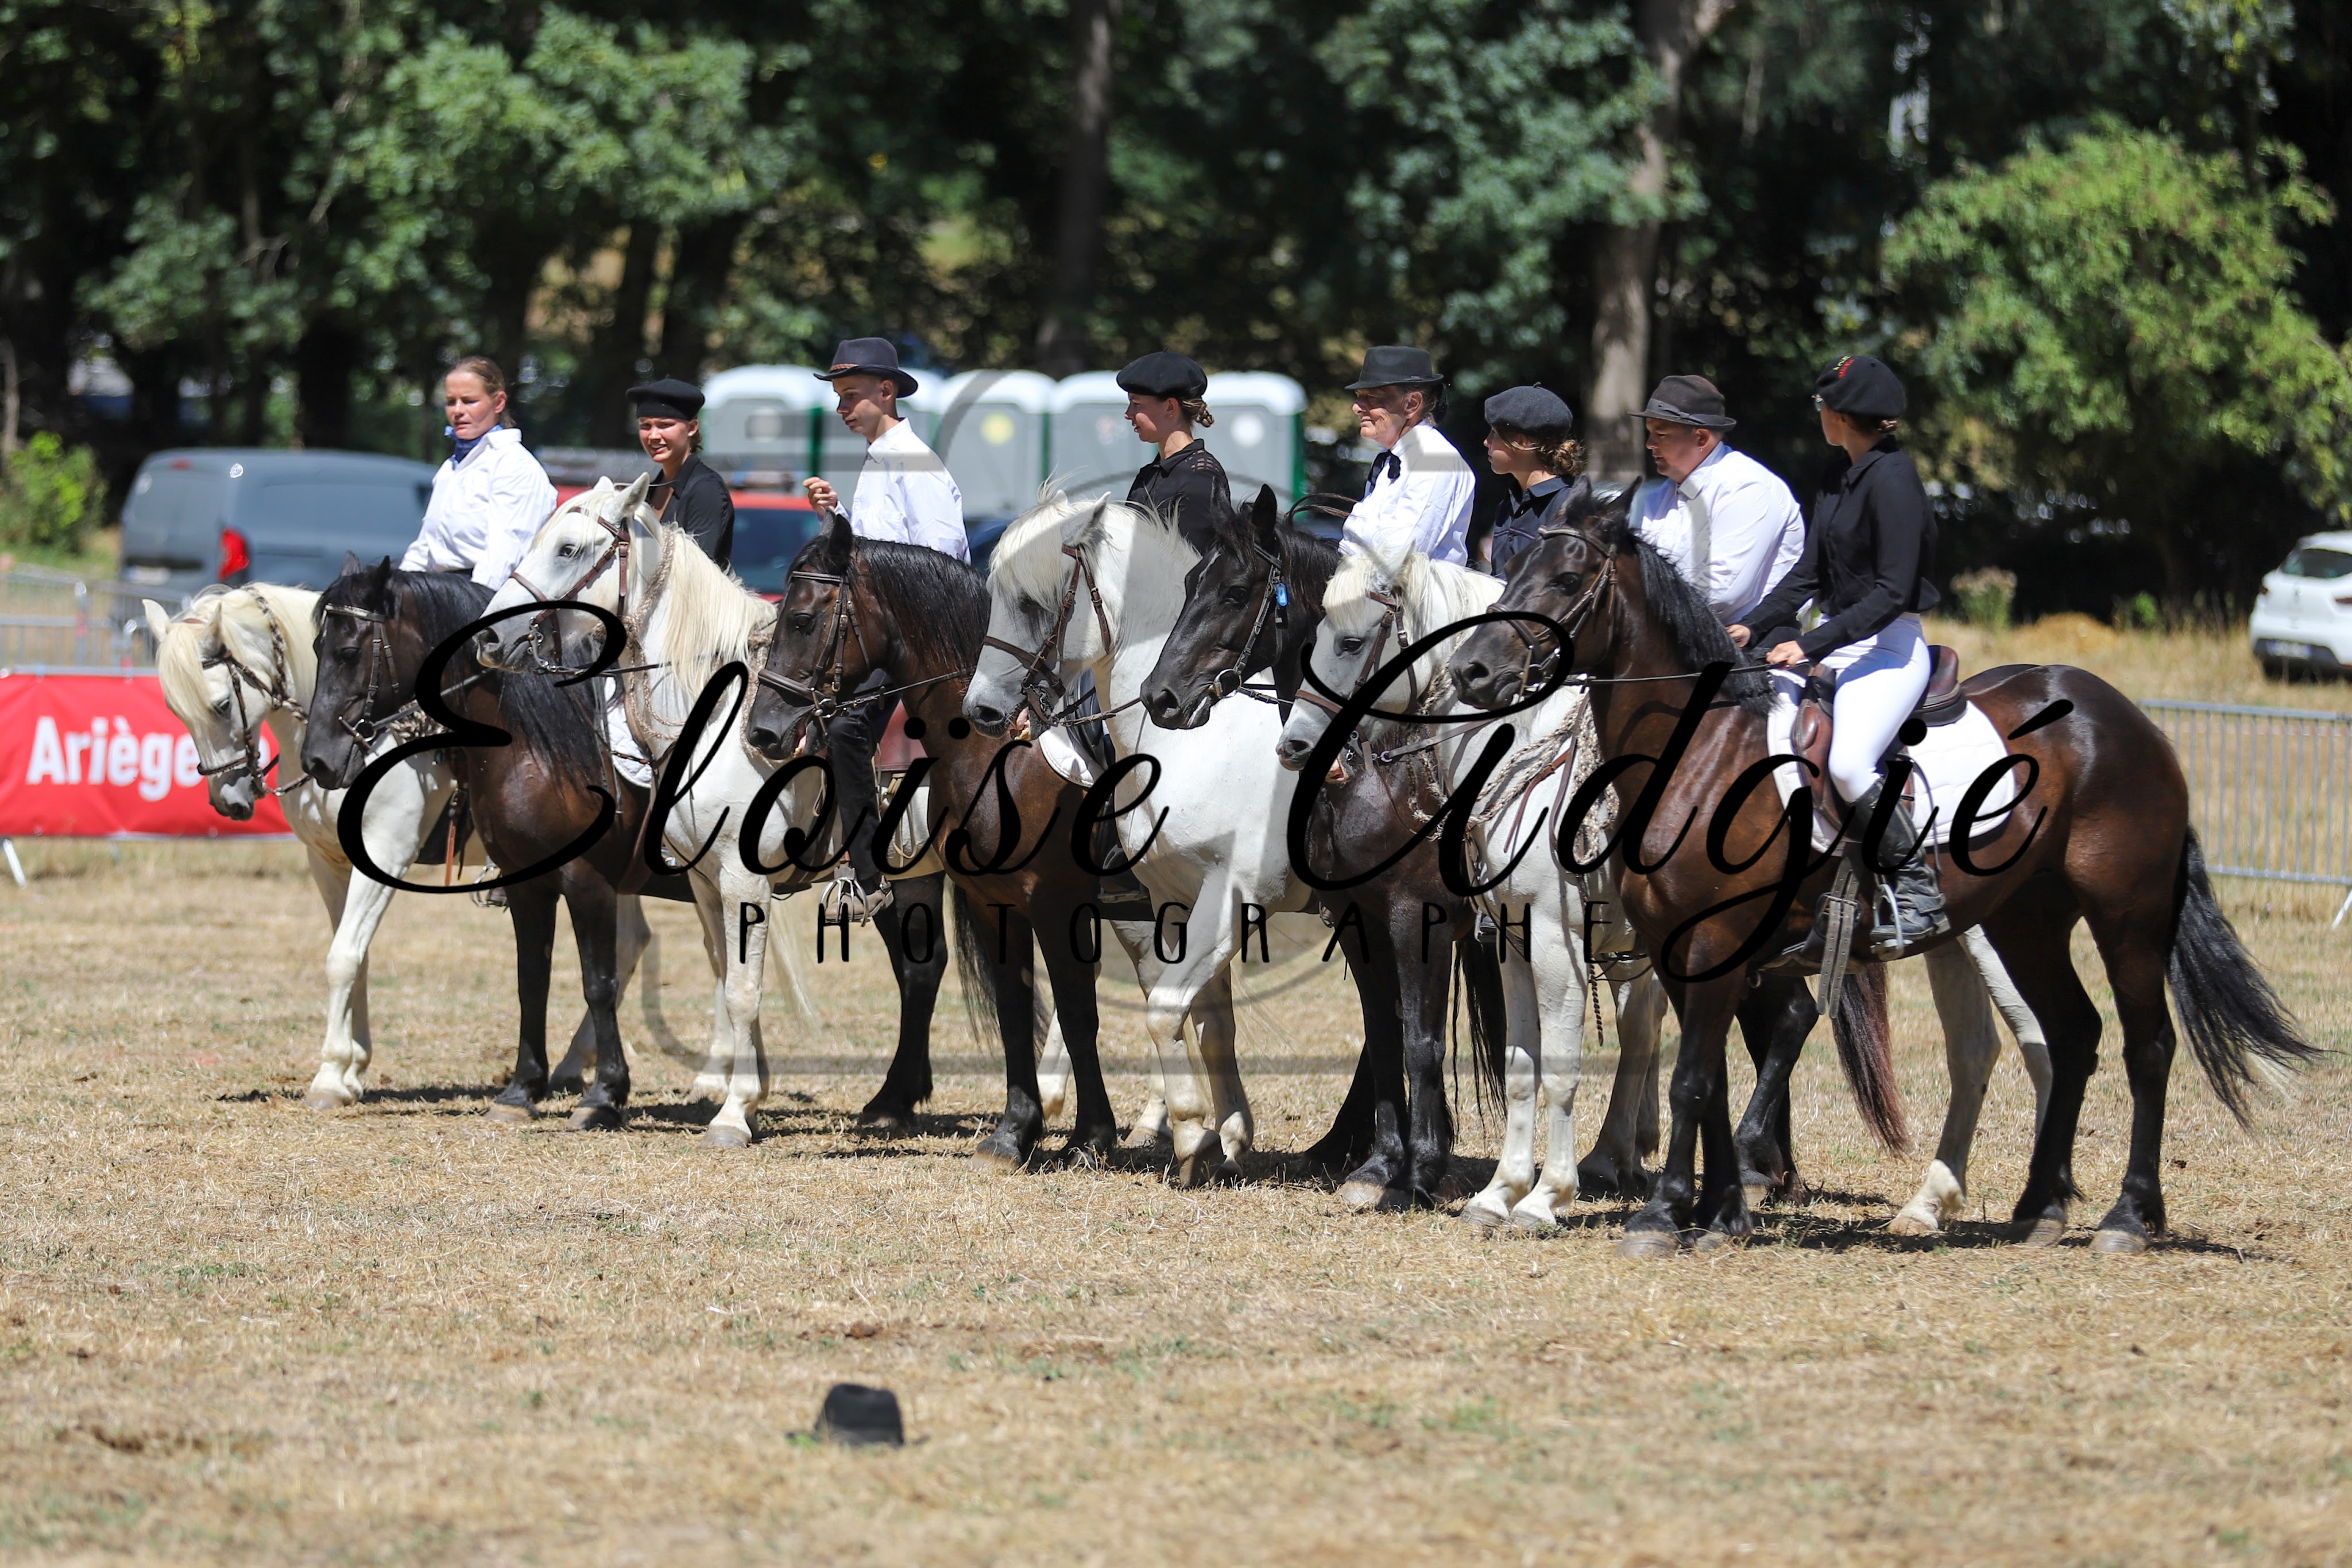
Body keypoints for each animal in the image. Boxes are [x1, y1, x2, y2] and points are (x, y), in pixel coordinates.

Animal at [147, 584, 651, 1110]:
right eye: (174, 709)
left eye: (223, 704)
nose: (229, 800)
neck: (366, 739)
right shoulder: (327, 861)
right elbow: (355, 956)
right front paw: (352, 1067)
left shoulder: (386, 850)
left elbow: (343, 957)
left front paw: (330, 1076)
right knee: (631, 942)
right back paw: (576, 1064)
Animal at [476, 475, 950, 1149]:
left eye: (569, 549)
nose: (491, 638)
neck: (714, 717)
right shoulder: (704, 880)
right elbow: (728, 978)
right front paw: (742, 1097)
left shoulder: (737, 877)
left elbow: (745, 990)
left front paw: (732, 1113)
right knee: (922, 971)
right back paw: (894, 1101)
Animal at [1449, 481, 2317, 1254]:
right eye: (1512, 571)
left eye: (1564, 580)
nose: (1470, 673)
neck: (1701, 755)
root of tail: (2127, 717)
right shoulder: (1679, 949)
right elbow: (1707, 1072)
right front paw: (1720, 1213)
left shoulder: (1695, 942)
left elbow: (1691, 1075)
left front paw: (1660, 1214)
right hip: (2026, 920)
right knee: (2073, 1037)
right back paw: (2035, 1210)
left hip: (2125, 915)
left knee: (2145, 1045)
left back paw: (2127, 1217)